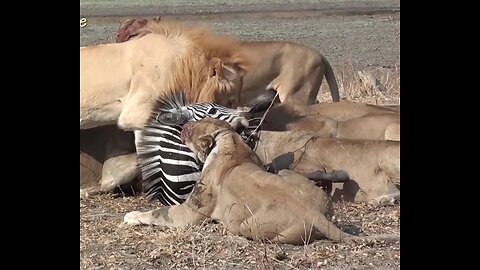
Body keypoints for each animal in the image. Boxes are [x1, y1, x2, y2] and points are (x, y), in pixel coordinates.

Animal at [123, 118, 398, 245]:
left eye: (192, 129)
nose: (184, 123)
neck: (228, 138)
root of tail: (313, 214)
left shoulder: (190, 214)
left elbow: (158, 212)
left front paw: (132, 216)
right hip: (290, 174)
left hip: (245, 225)